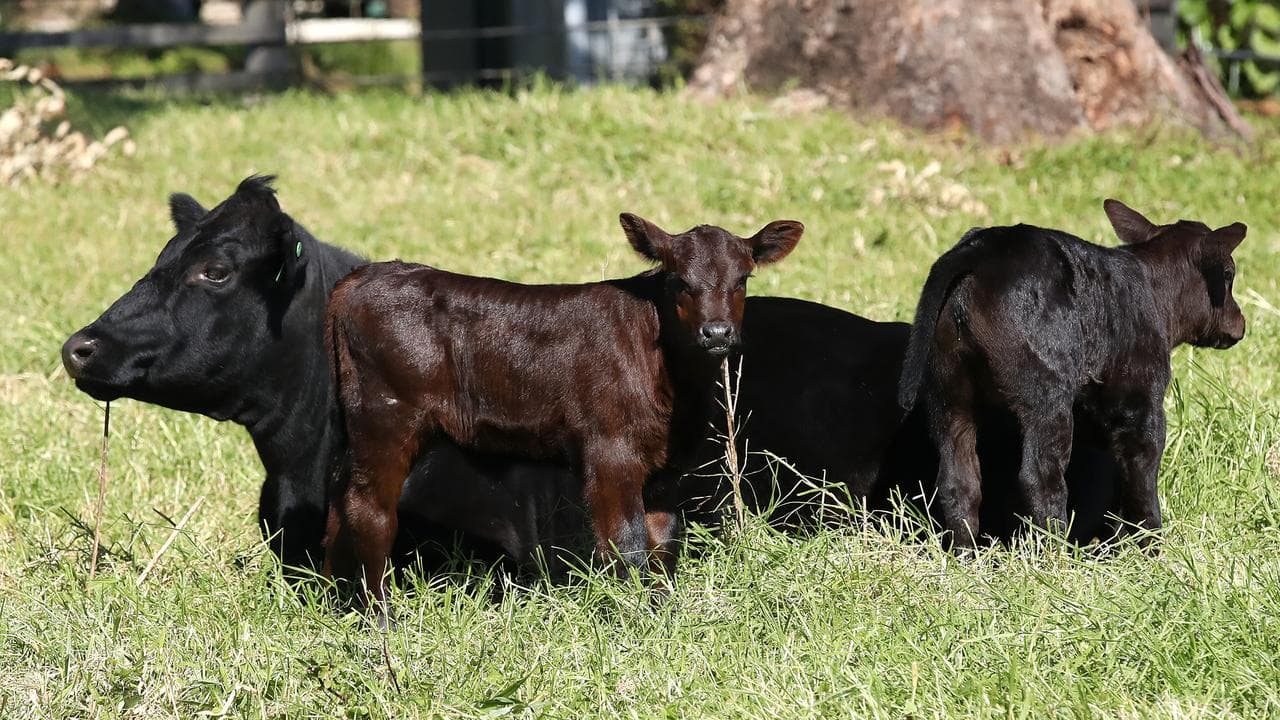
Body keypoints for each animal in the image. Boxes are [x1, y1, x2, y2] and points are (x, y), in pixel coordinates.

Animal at [322, 215, 803, 617]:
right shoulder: (610, 450)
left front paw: (663, 609)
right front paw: (632, 615)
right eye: (679, 280)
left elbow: (663, 540)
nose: (717, 333)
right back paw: (380, 616)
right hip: (386, 416)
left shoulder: (666, 467)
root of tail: (364, 276)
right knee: (370, 509)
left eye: (742, 279)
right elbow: (627, 541)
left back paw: (332, 597)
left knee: (337, 501)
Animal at [898, 200, 1247, 549]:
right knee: (1041, 476)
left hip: (947, 391)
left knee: (958, 479)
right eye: (1229, 275)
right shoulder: (1142, 398)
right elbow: (1142, 472)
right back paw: (1057, 551)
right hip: (1046, 395)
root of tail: (980, 250)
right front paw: (1150, 544)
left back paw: (965, 552)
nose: (1240, 322)